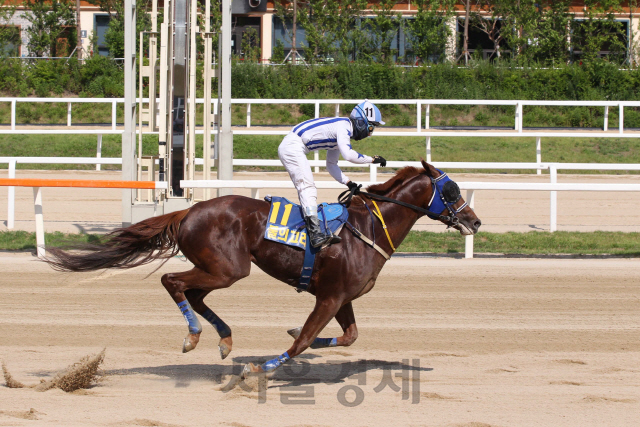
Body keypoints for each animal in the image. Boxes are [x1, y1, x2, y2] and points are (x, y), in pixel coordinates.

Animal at [43, 161, 480, 378]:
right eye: (452, 190)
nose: (474, 222)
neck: (367, 228)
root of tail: (189, 210)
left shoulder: (343, 297)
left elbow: (347, 337)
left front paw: (290, 341)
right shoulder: (330, 296)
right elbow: (305, 339)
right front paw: (263, 367)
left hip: (221, 268)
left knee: (193, 293)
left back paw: (223, 339)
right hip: (228, 270)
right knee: (173, 281)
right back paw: (194, 336)